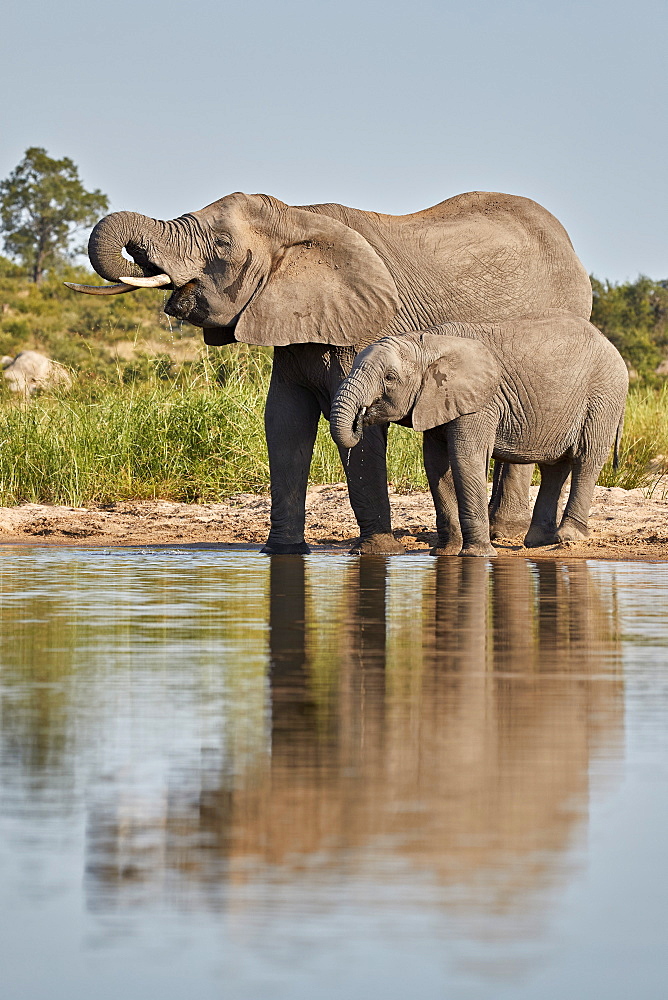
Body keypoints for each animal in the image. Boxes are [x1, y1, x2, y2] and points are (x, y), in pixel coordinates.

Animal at [66, 189, 588, 556]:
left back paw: (505, 531)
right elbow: (283, 422)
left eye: (222, 243)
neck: (297, 216)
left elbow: (358, 430)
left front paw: (376, 551)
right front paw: (281, 551)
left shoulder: (363, 323)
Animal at [332, 314, 628, 556]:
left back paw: (569, 537)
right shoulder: (437, 401)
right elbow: (436, 464)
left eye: (390, 378)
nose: (360, 419)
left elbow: (466, 458)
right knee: (554, 467)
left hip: (603, 397)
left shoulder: (480, 402)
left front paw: (477, 556)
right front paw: (445, 554)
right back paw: (538, 542)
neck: (427, 344)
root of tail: (610, 344)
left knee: (586, 459)